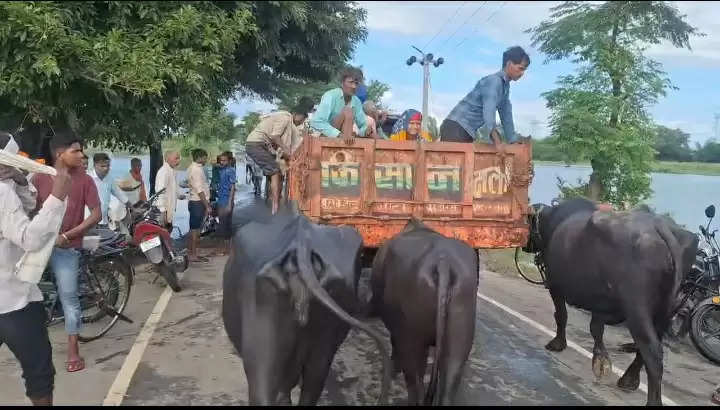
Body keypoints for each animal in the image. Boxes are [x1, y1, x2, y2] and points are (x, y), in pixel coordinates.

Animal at [524, 199, 700, 406]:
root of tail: (659, 226)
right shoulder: (602, 303)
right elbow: (595, 326)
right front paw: (600, 359)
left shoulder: (555, 285)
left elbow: (561, 315)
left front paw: (558, 344)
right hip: (665, 310)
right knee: (649, 347)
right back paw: (629, 379)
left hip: (636, 309)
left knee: (652, 351)